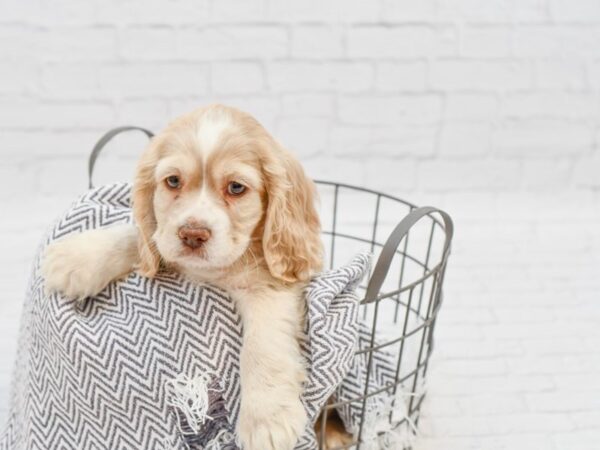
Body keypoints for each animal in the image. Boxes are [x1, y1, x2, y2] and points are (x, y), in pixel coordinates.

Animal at [42, 104, 326, 450]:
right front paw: (77, 257)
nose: (192, 234)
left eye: (236, 188)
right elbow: (140, 238)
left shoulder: (272, 285)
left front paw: (266, 418)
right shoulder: (164, 241)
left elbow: (261, 345)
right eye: (173, 181)